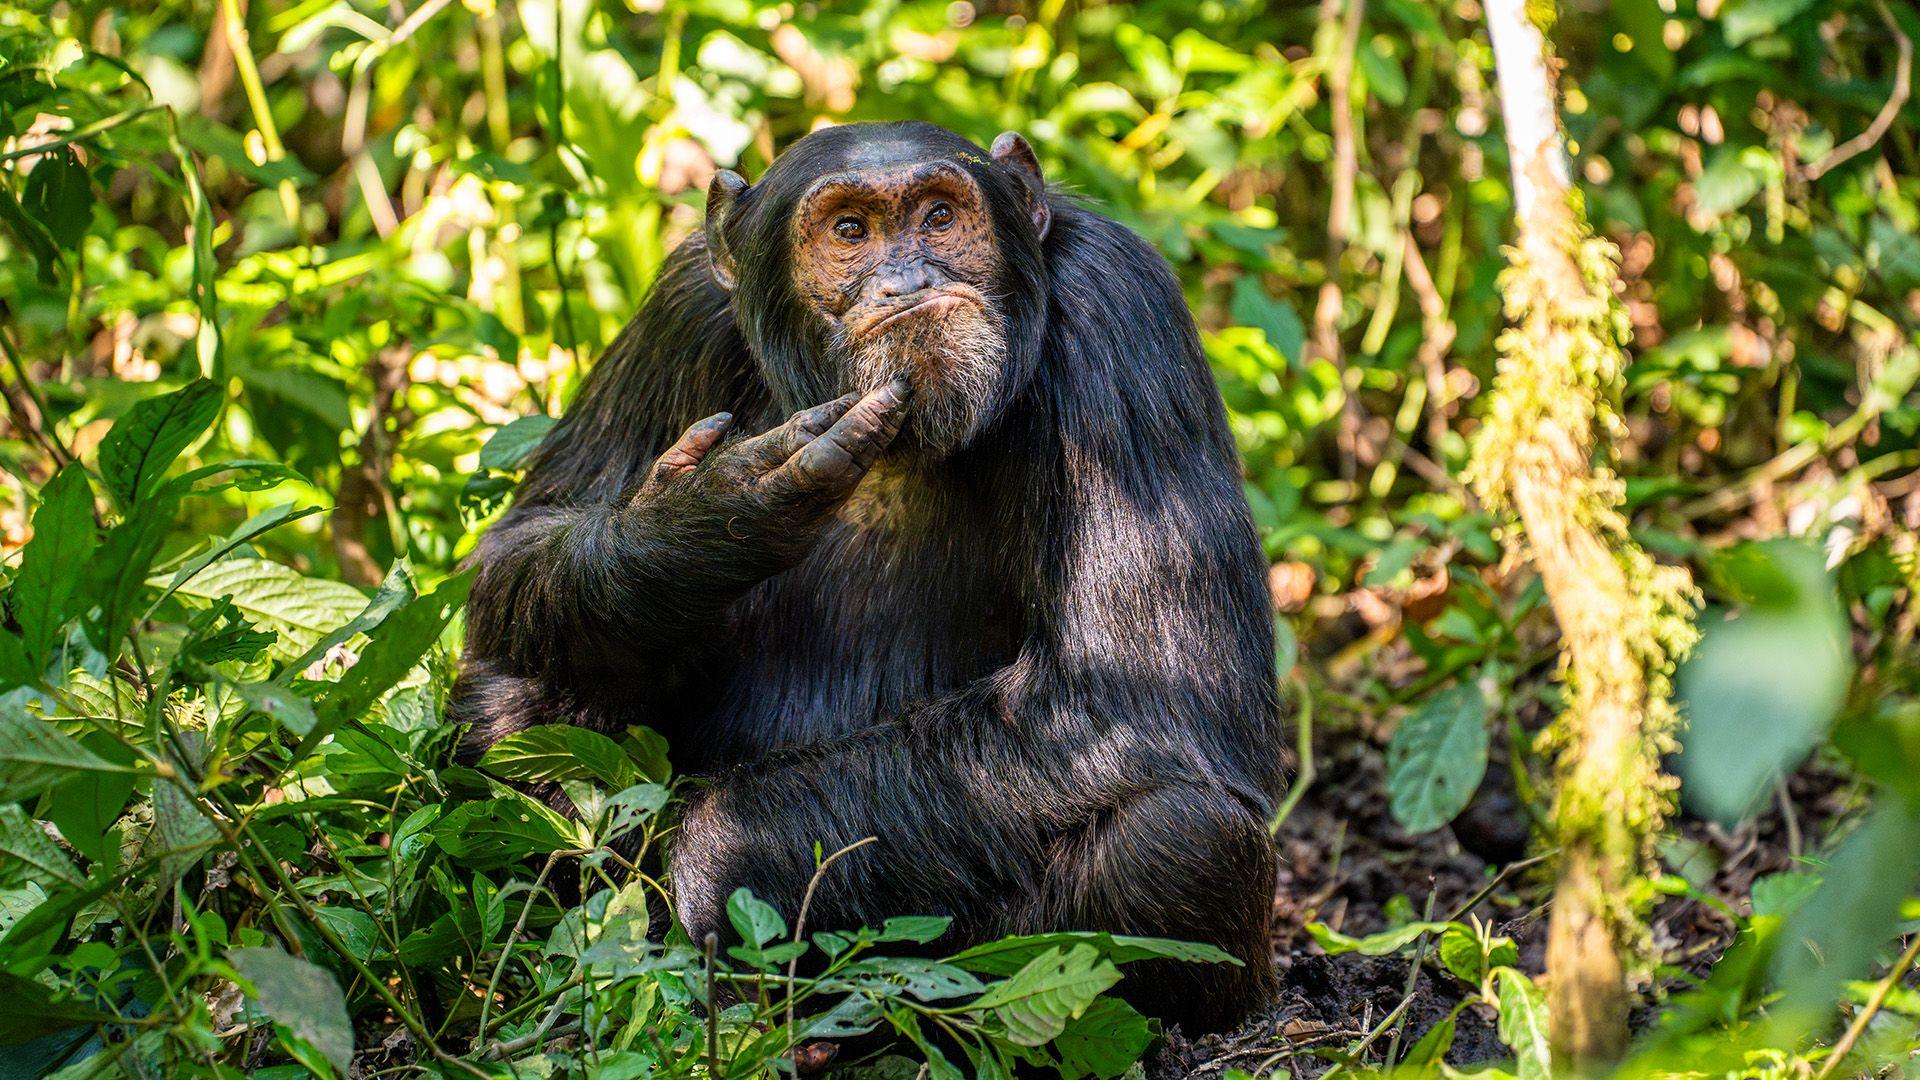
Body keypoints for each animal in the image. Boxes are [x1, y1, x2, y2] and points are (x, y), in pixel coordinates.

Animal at [449, 119, 1282, 1022]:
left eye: (940, 215)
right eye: (850, 230)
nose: (908, 277)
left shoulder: (1120, 306)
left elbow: (1135, 688)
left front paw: (718, 859)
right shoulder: (679, 308)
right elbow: (523, 536)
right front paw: (699, 521)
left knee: (1181, 837)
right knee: (517, 691)